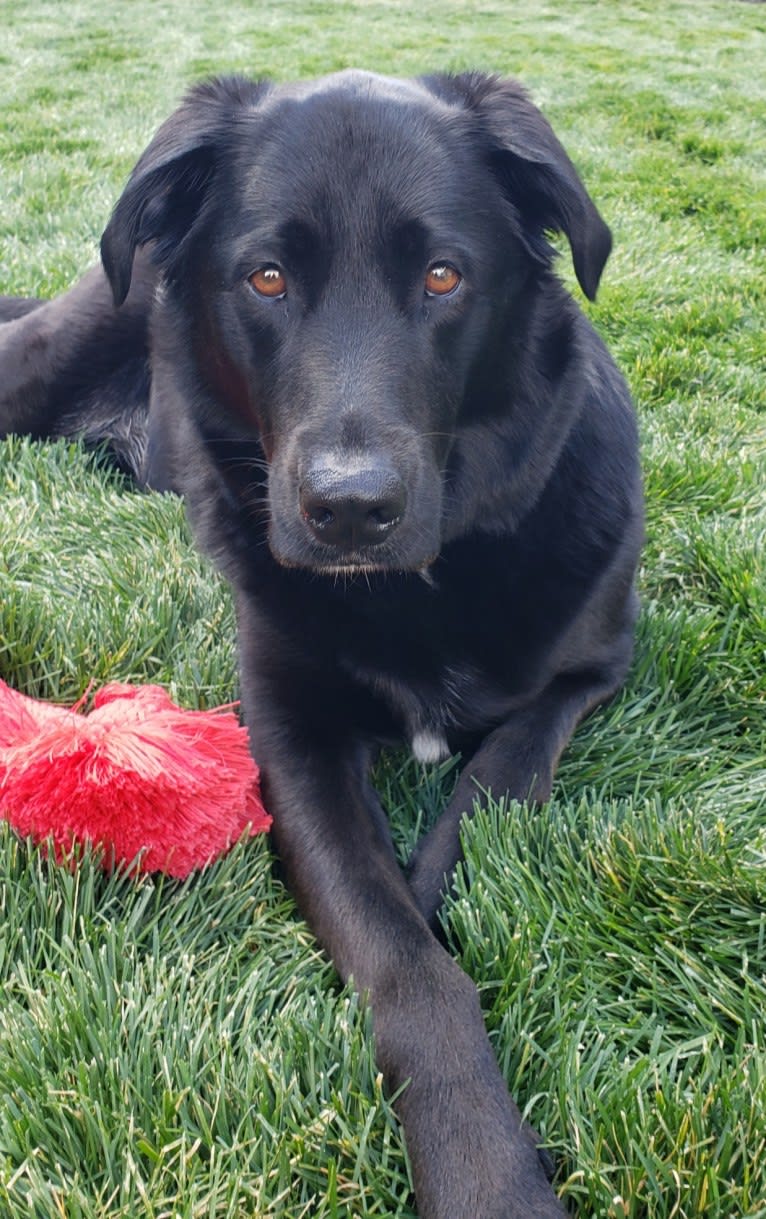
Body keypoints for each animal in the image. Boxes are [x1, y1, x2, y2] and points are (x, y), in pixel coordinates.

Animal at [0, 71, 644, 1214]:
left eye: (443, 276)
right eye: (266, 278)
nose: (349, 510)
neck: (420, 584)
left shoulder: (592, 671)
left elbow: (488, 793)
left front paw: (432, 883)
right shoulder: (285, 727)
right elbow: (402, 957)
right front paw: (486, 1168)